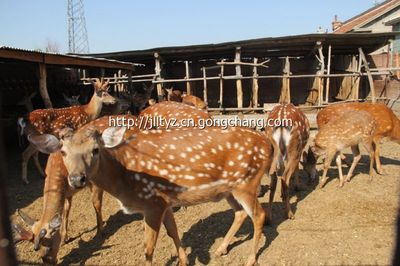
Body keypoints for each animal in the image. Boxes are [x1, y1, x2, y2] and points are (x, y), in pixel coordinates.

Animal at [30, 119, 276, 266]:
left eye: (95, 149)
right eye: (63, 151)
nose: (76, 179)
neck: (123, 179)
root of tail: (269, 143)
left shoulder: (152, 202)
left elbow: (148, 248)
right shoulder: (164, 201)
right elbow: (174, 232)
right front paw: (184, 261)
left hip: (248, 182)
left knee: (259, 215)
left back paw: (251, 259)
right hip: (228, 190)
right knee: (240, 213)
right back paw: (221, 249)